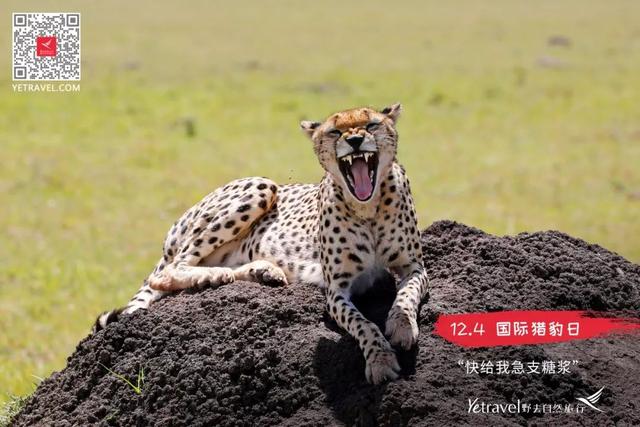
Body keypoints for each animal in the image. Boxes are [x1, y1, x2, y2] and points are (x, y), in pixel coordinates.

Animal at [92, 103, 428, 384]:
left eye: (371, 125)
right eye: (334, 131)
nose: (356, 141)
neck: (366, 208)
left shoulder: (414, 267)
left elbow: (406, 296)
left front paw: (401, 327)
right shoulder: (337, 289)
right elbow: (363, 325)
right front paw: (380, 360)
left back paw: (261, 271)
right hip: (262, 185)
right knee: (170, 271)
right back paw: (214, 275)